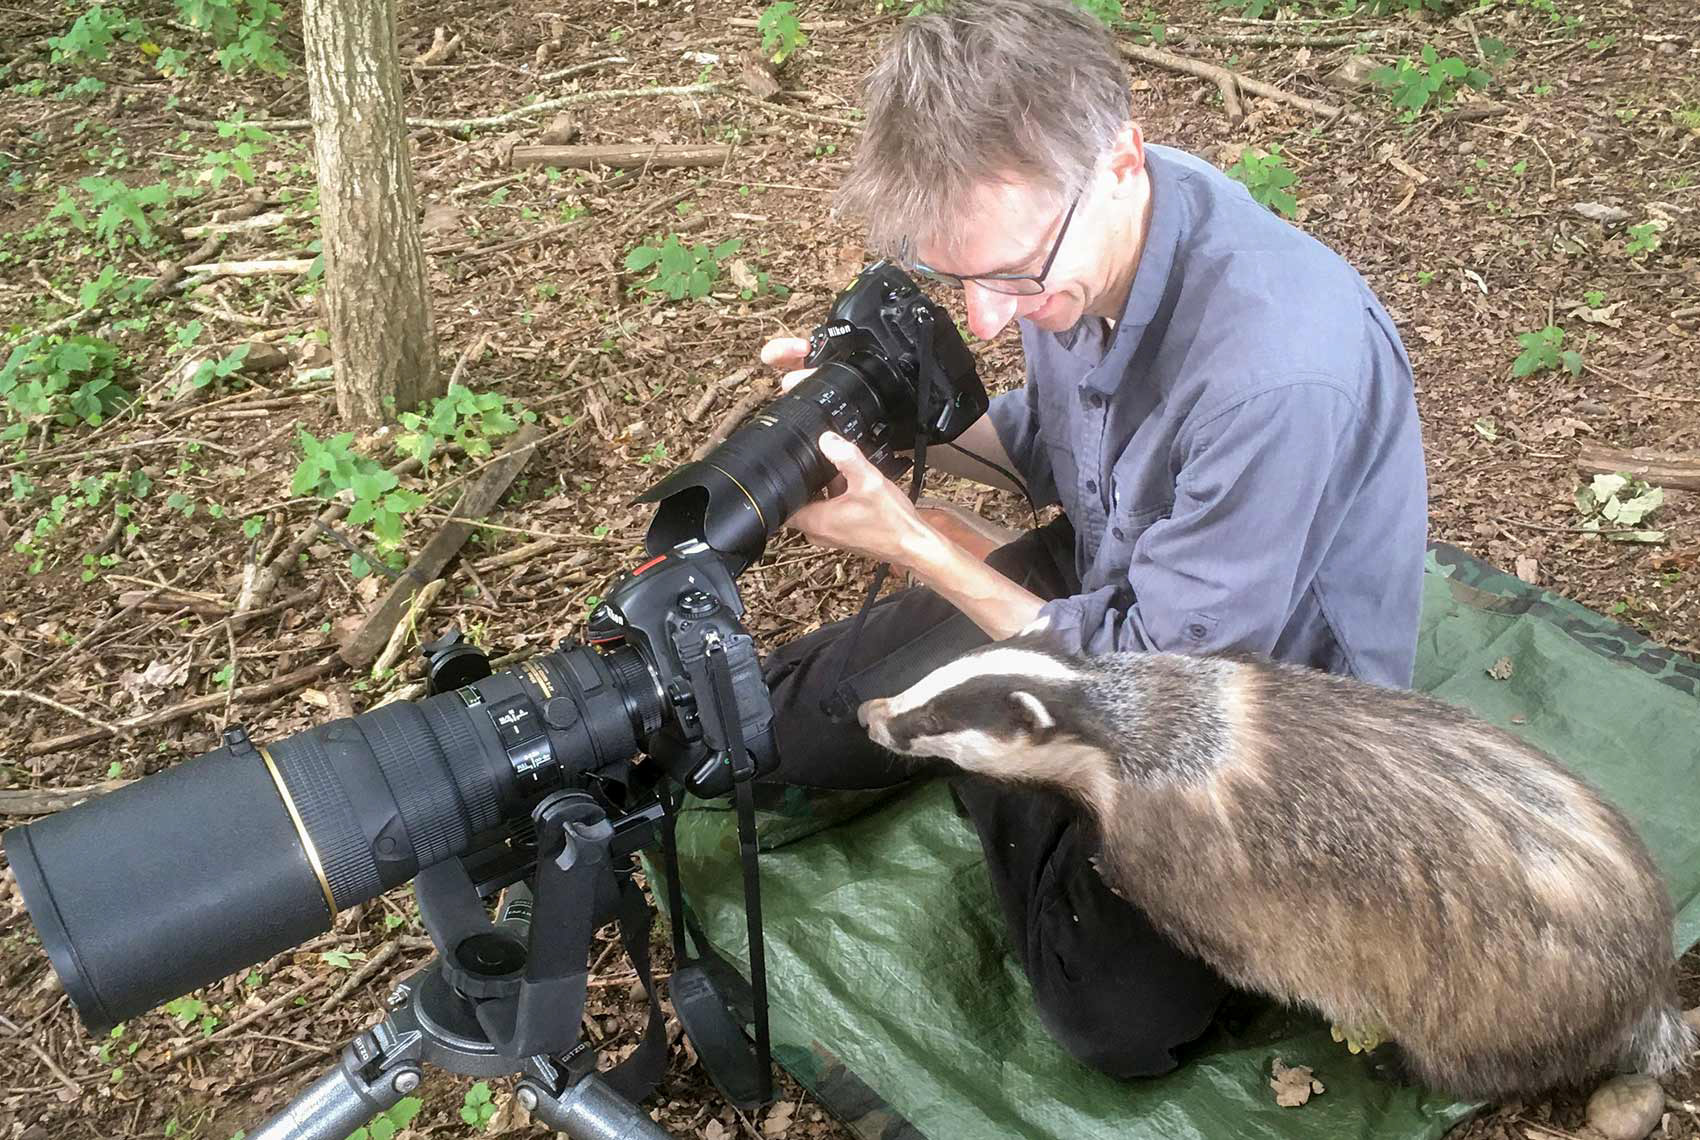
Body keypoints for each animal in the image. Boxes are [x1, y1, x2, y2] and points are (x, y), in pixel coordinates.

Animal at [857, 637, 1697, 1100]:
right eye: (927, 683)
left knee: (1482, 1058)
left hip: (1502, 992)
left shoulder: (1180, 859)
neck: (1140, 729)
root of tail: (1652, 974)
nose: (870, 712)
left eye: (933, 719)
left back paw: (1399, 1065)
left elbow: (1215, 935)